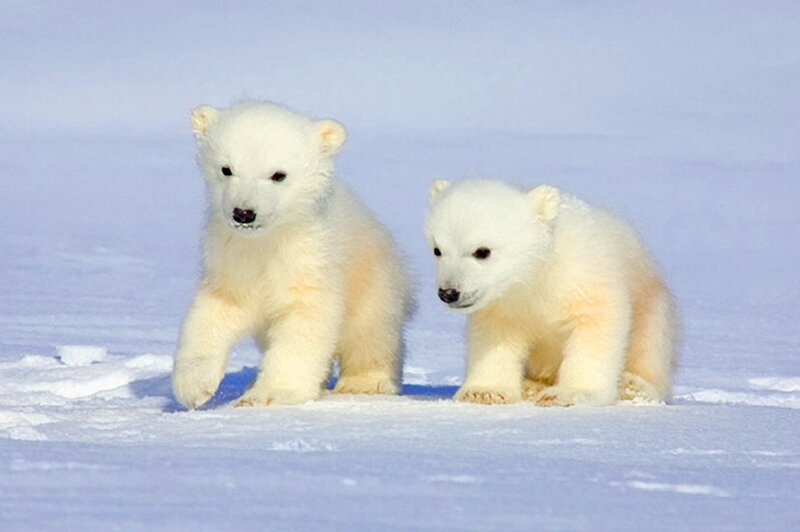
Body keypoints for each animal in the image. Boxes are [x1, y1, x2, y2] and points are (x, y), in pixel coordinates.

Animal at [172, 102, 409, 409]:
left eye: (278, 175)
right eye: (226, 169)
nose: (244, 213)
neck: (267, 242)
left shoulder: (309, 260)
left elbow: (303, 321)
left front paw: (269, 393)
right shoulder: (230, 259)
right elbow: (214, 311)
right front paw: (193, 386)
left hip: (373, 279)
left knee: (371, 333)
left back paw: (366, 383)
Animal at [424, 178, 677, 406]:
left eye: (482, 251)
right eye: (437, 250)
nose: (448, 292)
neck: (536, 274)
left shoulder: (583, 277)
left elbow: (595, 325)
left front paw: (569, 394)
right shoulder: (504, 303)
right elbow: (495, 335)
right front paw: (484, 392)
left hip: (652, 306)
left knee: (650, 347)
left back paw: (631, 386)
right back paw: (530, 385)